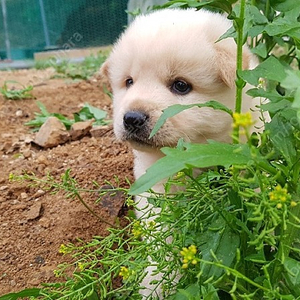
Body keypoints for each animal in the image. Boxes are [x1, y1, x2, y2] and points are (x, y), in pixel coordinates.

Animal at [102, 8, 258, 298]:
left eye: (181, 86)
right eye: (128, 82)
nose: (132, 118)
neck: (197, 155)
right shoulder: (156, 187)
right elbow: (161, 235)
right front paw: (156, 284)